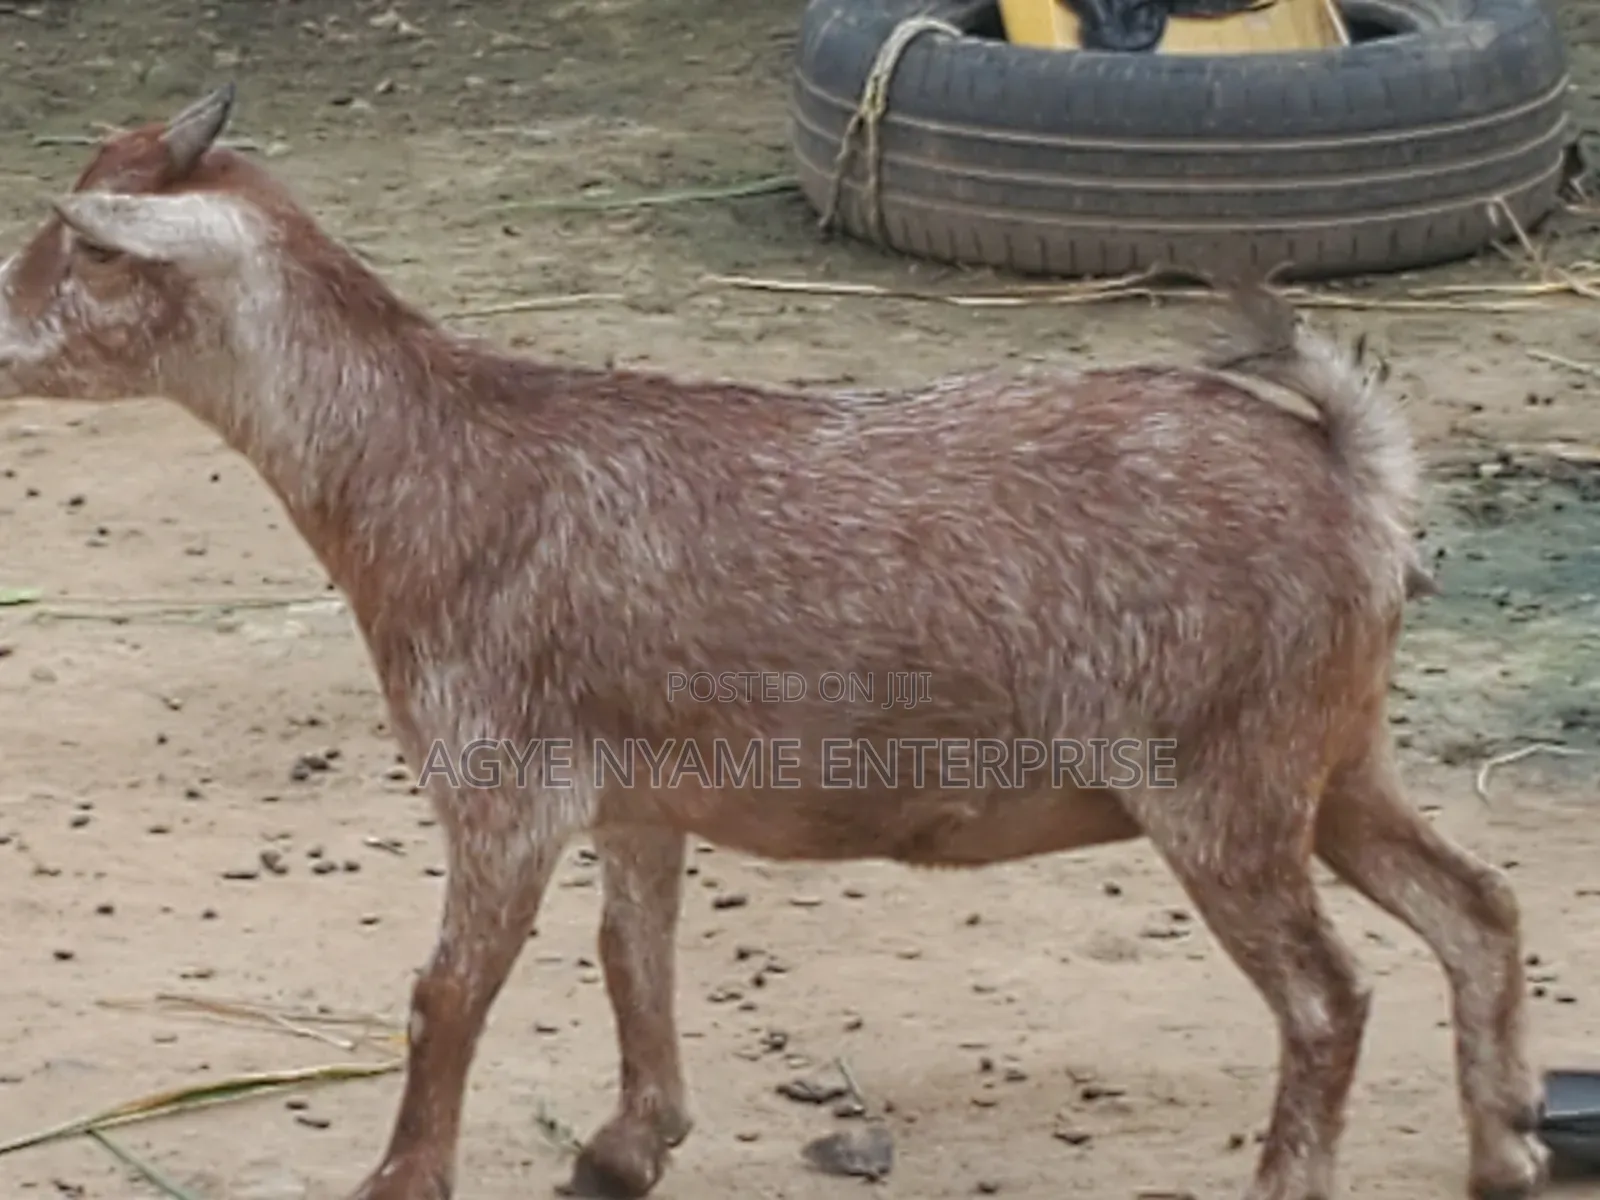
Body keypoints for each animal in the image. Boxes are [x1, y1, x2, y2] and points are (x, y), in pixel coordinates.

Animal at [0, 84, 1542, 1200]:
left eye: (86, 246)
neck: (434, 463)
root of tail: (1350, 471)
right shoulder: (633, 793)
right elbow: (632, 955)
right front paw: (625, 1149)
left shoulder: (499, 780)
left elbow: (449, 993)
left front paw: (400, 1181)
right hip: (1331, 755)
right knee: (1474, 907)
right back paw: (1506, 1152)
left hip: (1222, 779)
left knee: (1328, 1001)